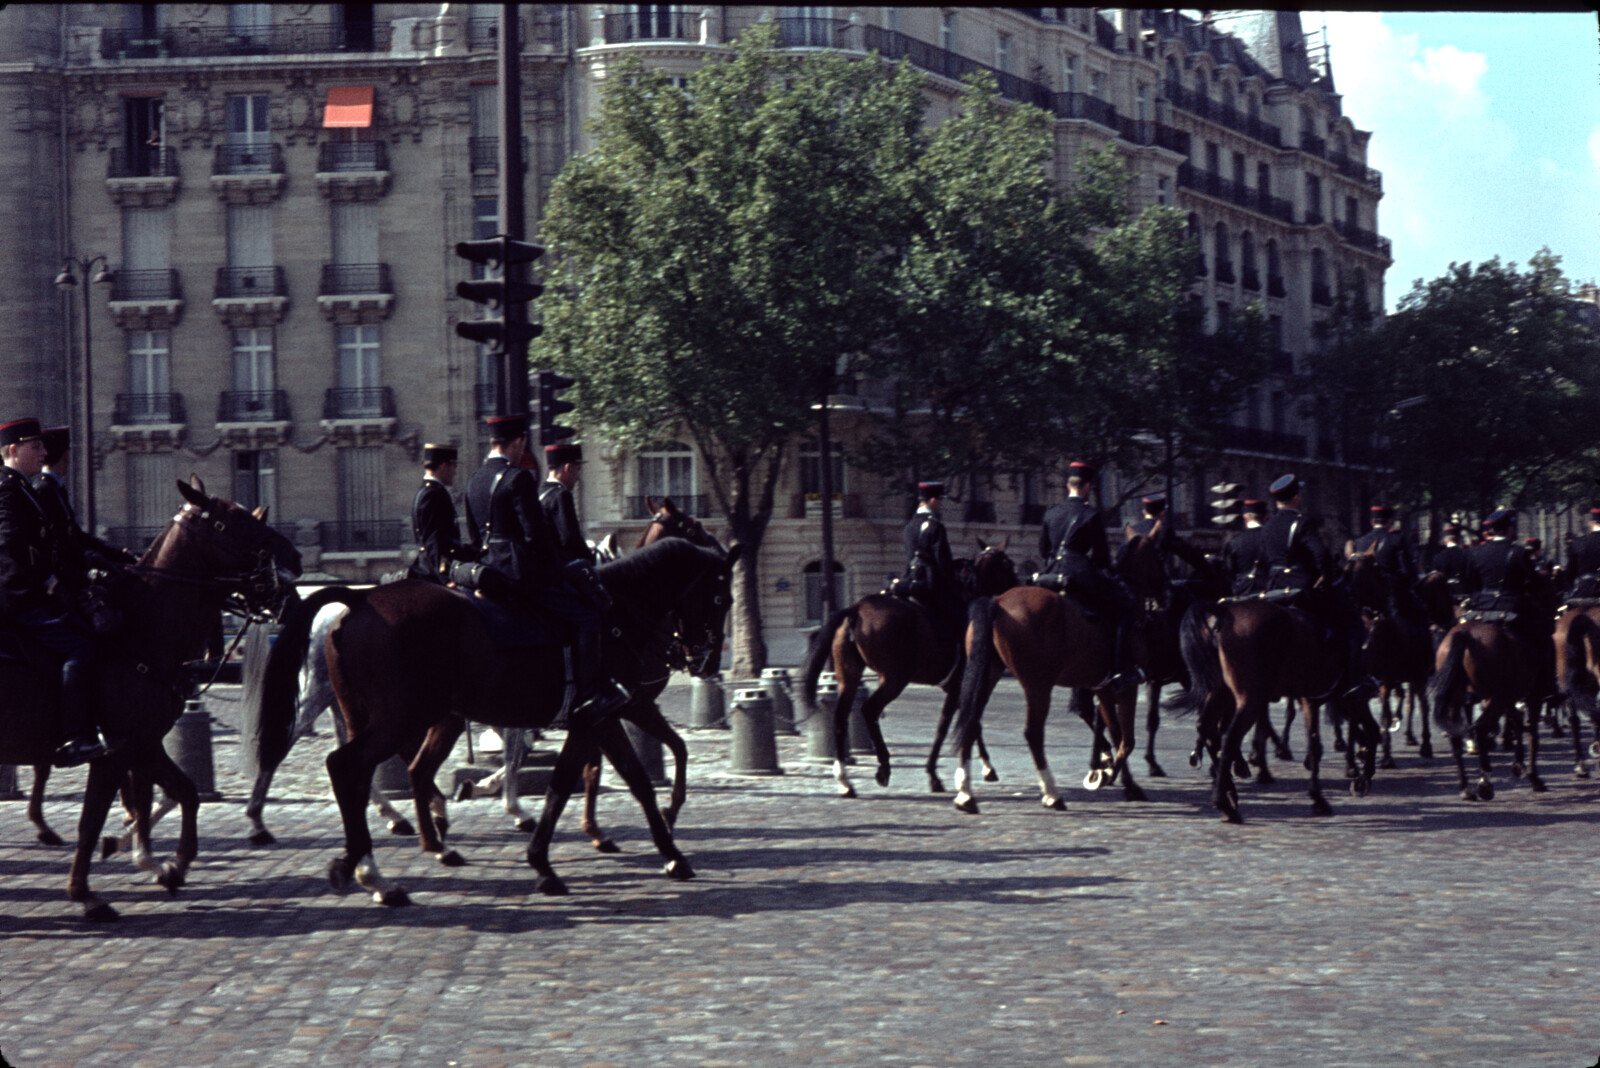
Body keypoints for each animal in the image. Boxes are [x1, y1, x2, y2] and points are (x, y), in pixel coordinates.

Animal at [0, 476, 300, 920]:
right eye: (230, 524)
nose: (294, 560)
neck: (137, 631)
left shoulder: (143, 745)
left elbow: (184, 792)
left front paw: (172, 866)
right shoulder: (112, 752)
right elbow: (92, 820)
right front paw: (86, 894)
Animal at [252, 537, 739, 908]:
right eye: (722, 598)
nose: (707, 661)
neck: (614, 613)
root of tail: (360, 597)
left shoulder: (609, 716)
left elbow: (633, 776)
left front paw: (665, 846)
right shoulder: (602, 716)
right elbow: (569, 781)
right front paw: (546, 859)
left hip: (383, 717)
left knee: (380, 772)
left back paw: (400, 856)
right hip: (398, 718)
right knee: (343, 764)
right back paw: (369, 865)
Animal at [796, 537, 1017, 796]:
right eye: (1009, 565)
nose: (1019, 586)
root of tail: (856, 608)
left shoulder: (958, 687)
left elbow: (971, 722)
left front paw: (985, 767)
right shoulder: (961, 686)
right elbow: (950, 725)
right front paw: (934, 774)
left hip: (849, 675)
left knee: (840, 717)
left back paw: (845, 780)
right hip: (894, 679)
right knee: (869, 710)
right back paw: (883, 767)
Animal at [1171, 597, 1382, 824]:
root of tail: (1223, 613)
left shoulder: (1311, 700)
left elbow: (1315, 746)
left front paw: (1318, 798)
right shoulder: (1348, 697)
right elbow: (1370, 730)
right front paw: (1362, 778)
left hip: (1221, 693)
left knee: (1208, 729)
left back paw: (1230, 791)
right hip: (1250, 698)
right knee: (1228, 738)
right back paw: (1227, 802)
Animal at [1433, 617, 1542, 799]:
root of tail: (1466, 634)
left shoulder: (1510, 699)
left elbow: (1517, 723)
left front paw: (1519, 764)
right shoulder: (1534, 696)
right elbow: (1531, 734)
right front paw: (1534, 777)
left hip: (1460, 698)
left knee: (1456, 737)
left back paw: (1466, 788)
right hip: (1495, 698)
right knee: (1480, 729)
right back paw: (1485, 783)